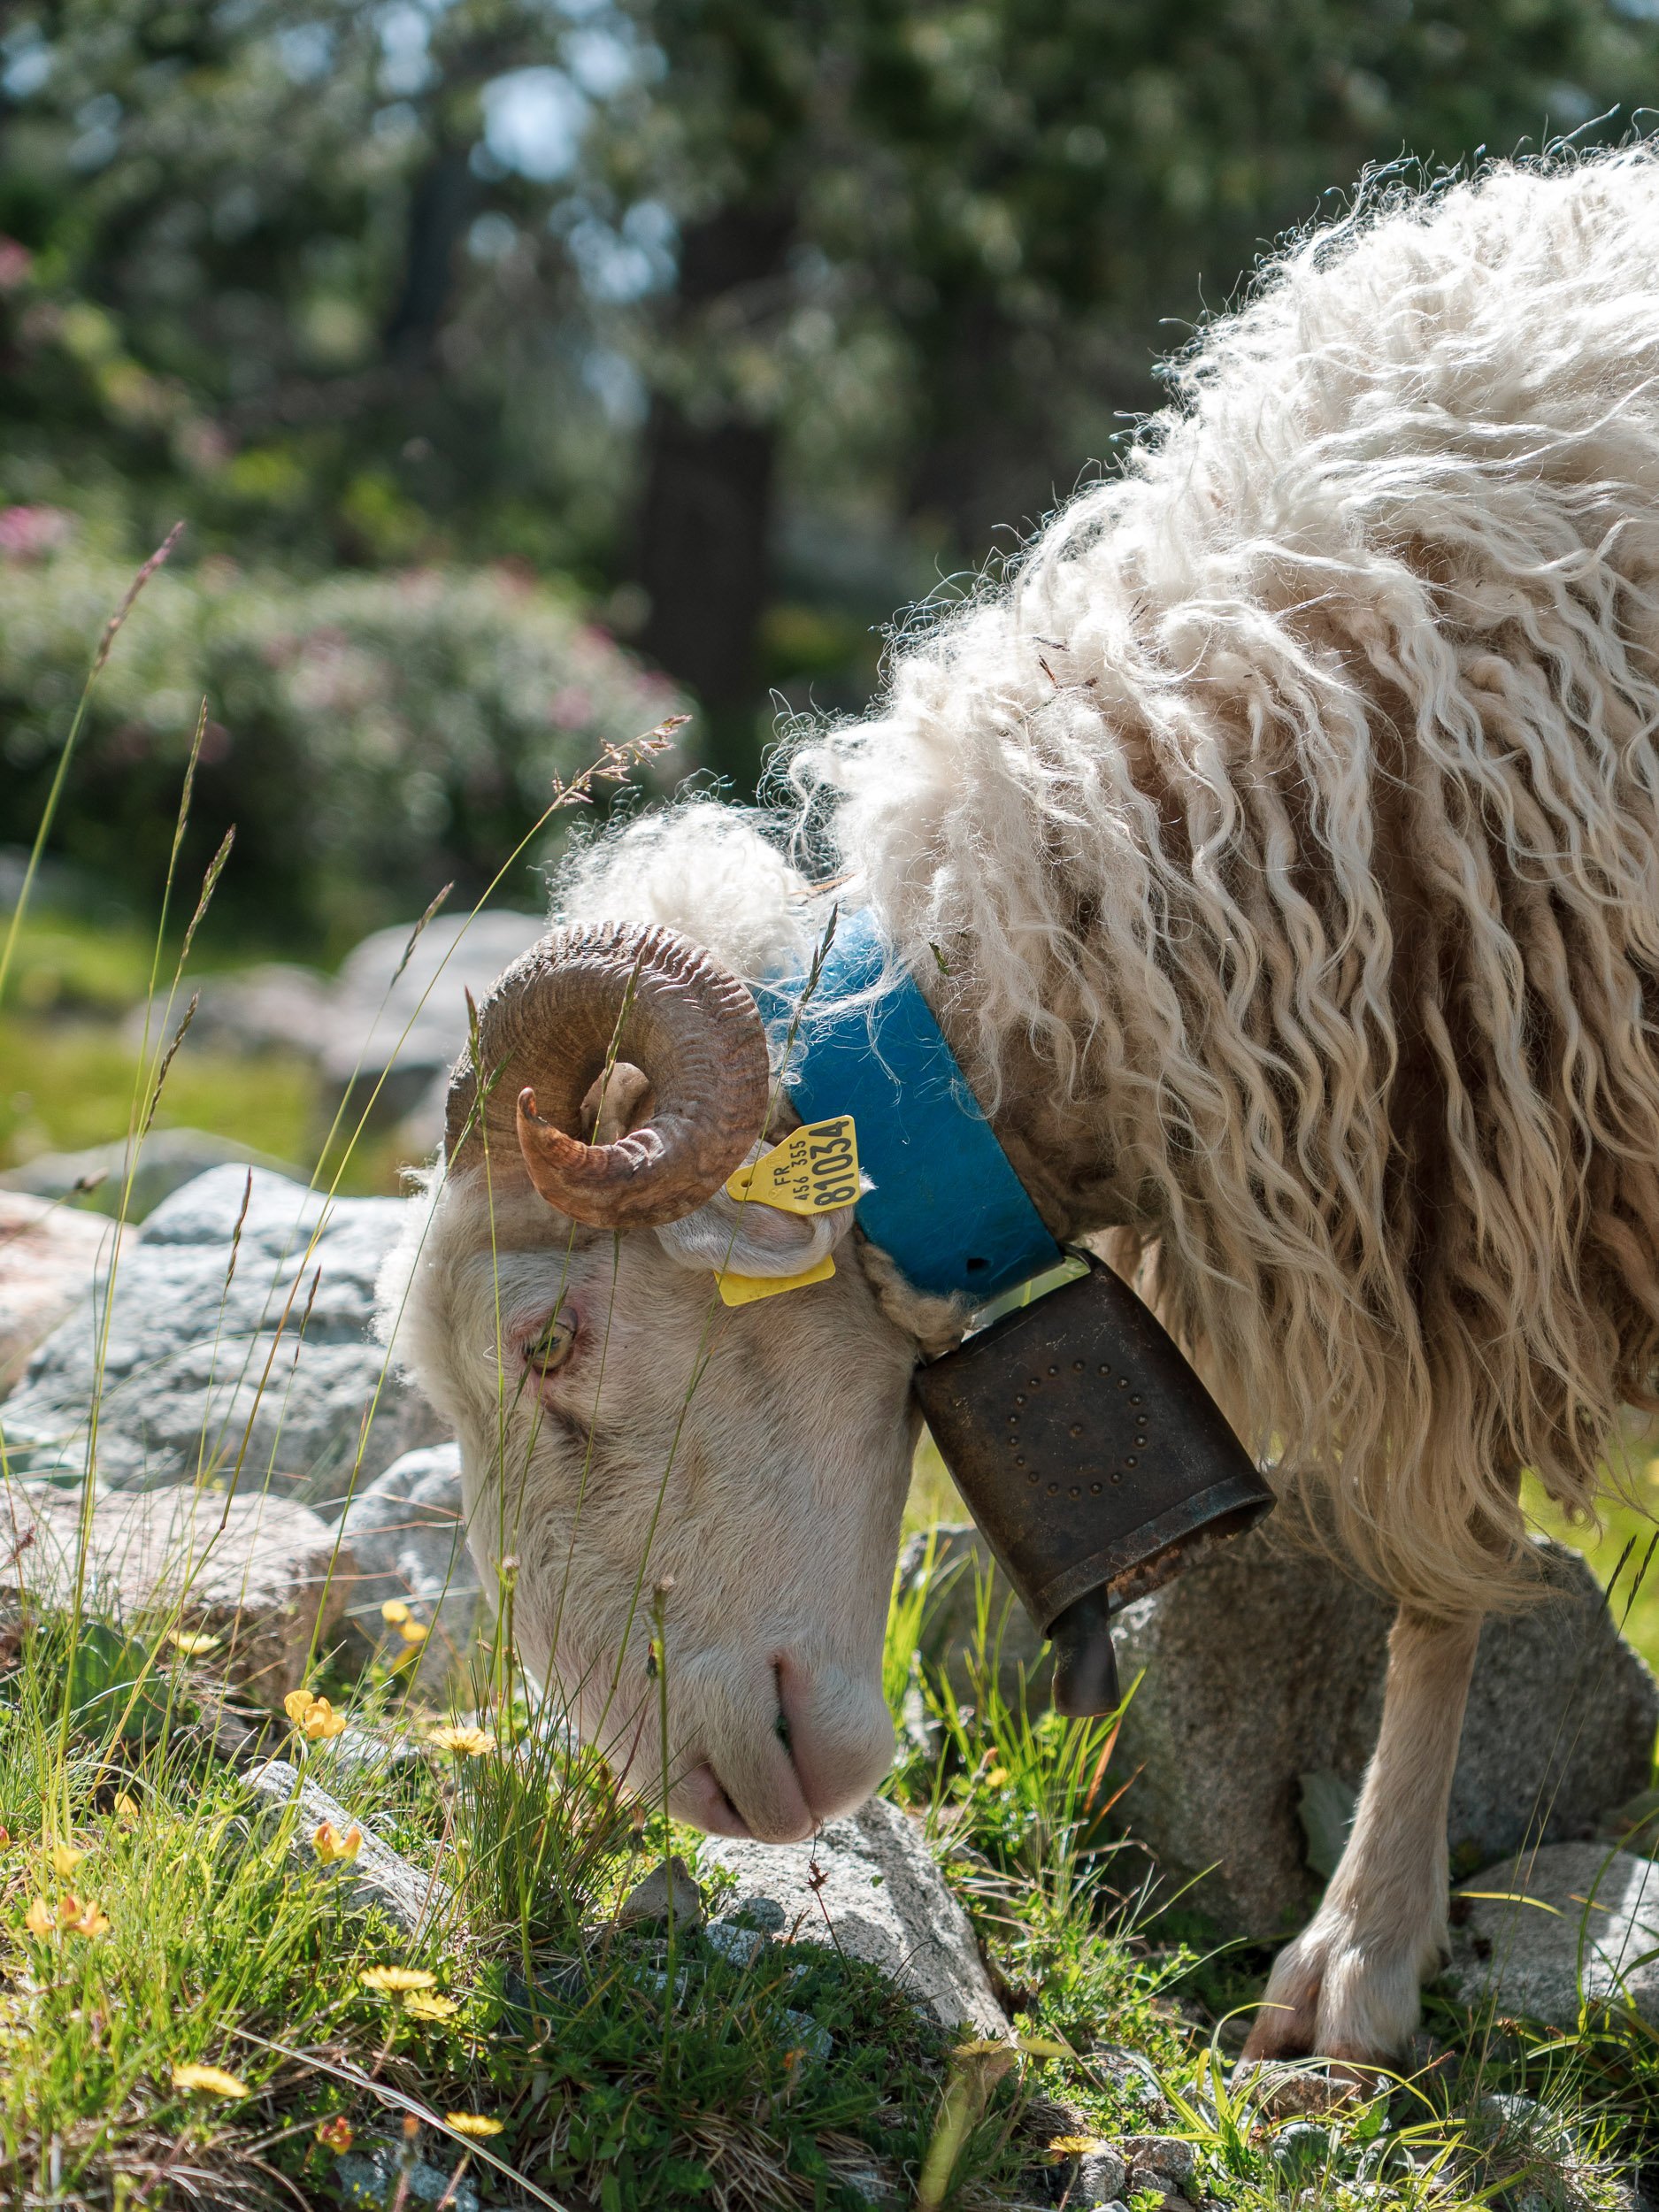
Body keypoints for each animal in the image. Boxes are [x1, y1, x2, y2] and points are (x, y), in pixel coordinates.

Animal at [383, 150, 1659, 2063]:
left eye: (551, 1340)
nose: (691, 1792)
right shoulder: (1466, 1183)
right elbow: (1448, 1567)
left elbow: (1438, 1581)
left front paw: (1358, 1956)